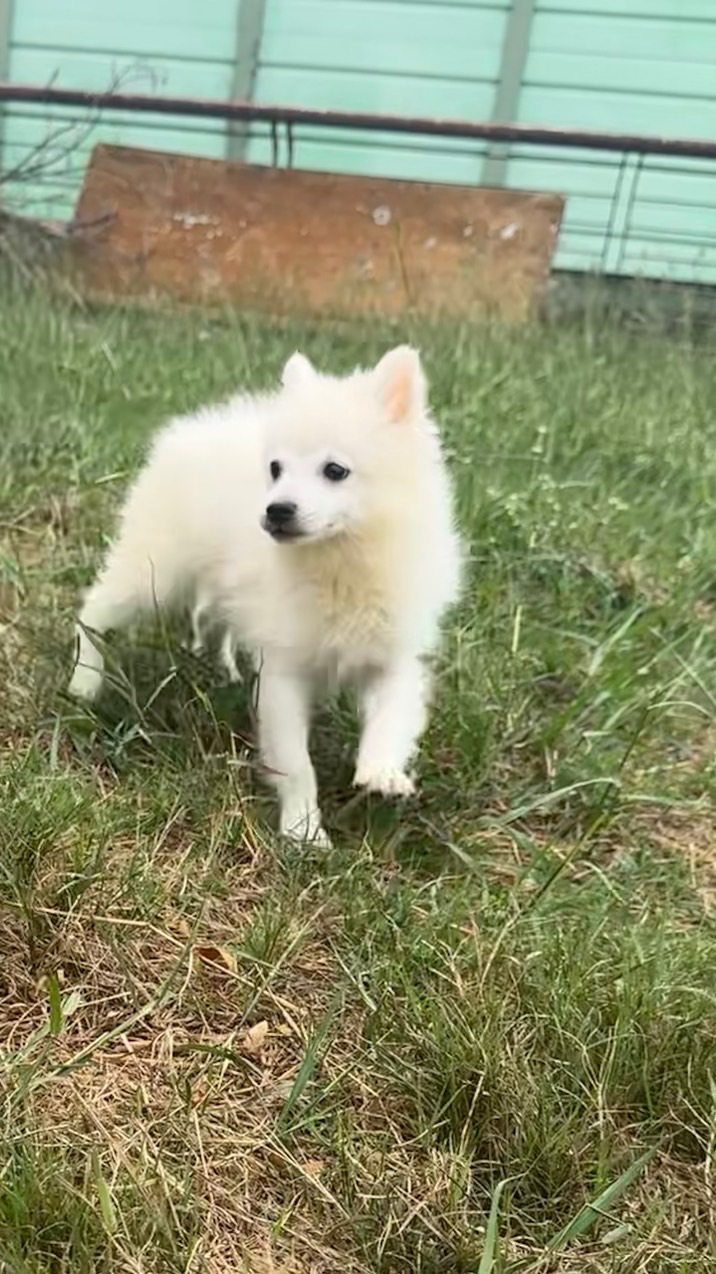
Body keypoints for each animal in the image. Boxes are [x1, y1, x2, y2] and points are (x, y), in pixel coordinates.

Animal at [69, 349, 458, 845]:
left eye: (335, 471)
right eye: (275, 469)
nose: (276, 510)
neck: (337, 561)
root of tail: (193, 429)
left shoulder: (392, 655)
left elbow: (393, 714)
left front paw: (381, 772)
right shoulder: (284, 672)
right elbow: (295, 763)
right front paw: (303, 831)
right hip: (153, 575)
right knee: (94, 611)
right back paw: (84, 681)